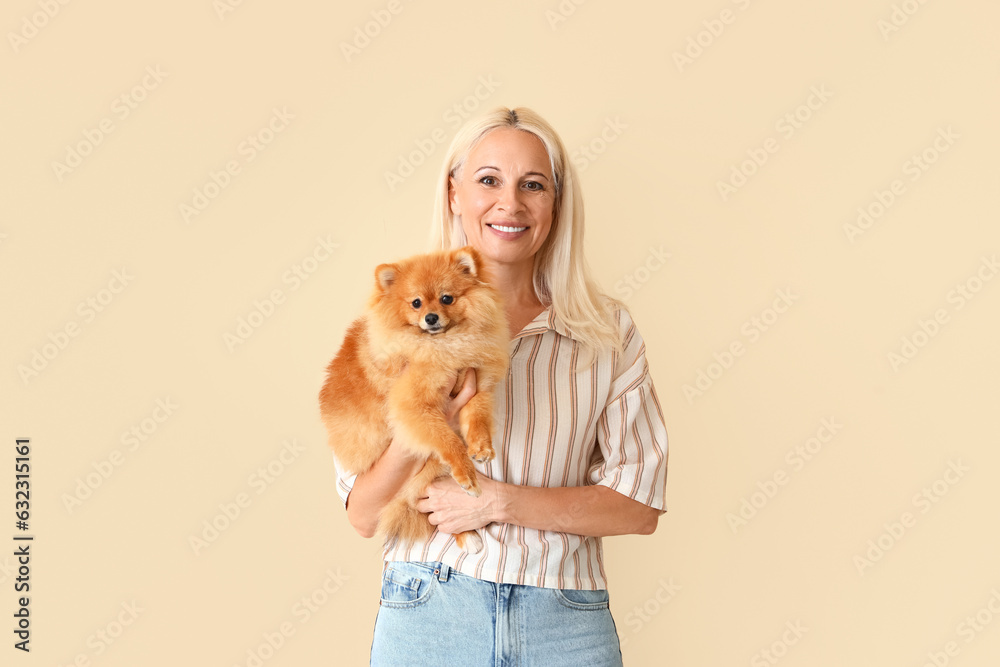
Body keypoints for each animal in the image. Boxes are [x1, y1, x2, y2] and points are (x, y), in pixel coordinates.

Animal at [320, 247, 508, 552]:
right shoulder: (414, 405)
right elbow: (448, 441)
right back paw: (467, 536)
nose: (431, 318)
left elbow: (478, 417)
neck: (446, 344)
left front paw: (481, 446)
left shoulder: (478, 383)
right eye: (416, 303)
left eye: (447, 298)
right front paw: (466, 472)